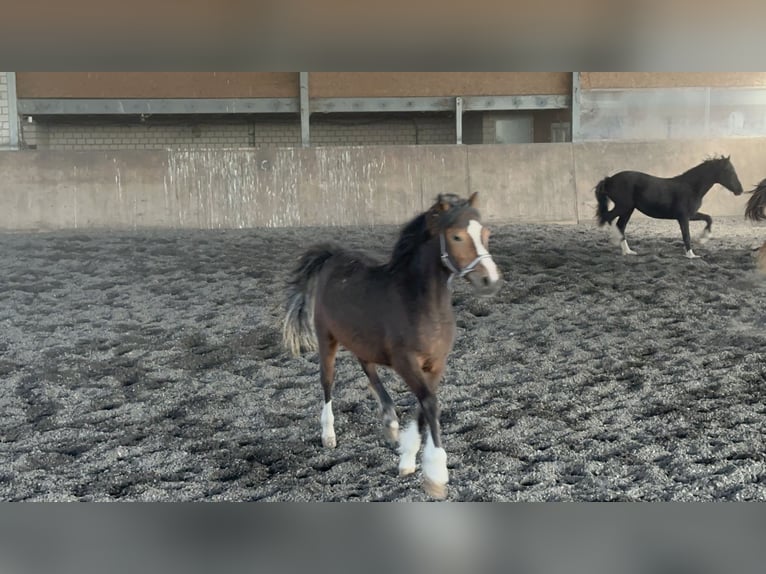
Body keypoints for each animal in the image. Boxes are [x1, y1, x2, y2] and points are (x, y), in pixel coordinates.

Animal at [282, 194, 504, 500]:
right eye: (457, 236)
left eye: (486, 234)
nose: (490, 280)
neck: (419, 304)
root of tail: (332, 256)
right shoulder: (405, 362)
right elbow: (430, 403)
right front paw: (435, 475)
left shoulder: (436, 364)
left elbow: (425, 405)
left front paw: (407, 459)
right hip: (327, 337)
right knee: (327, 381)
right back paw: (329, 434)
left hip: (362, 339)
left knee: (367, 366)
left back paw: (390, 421)